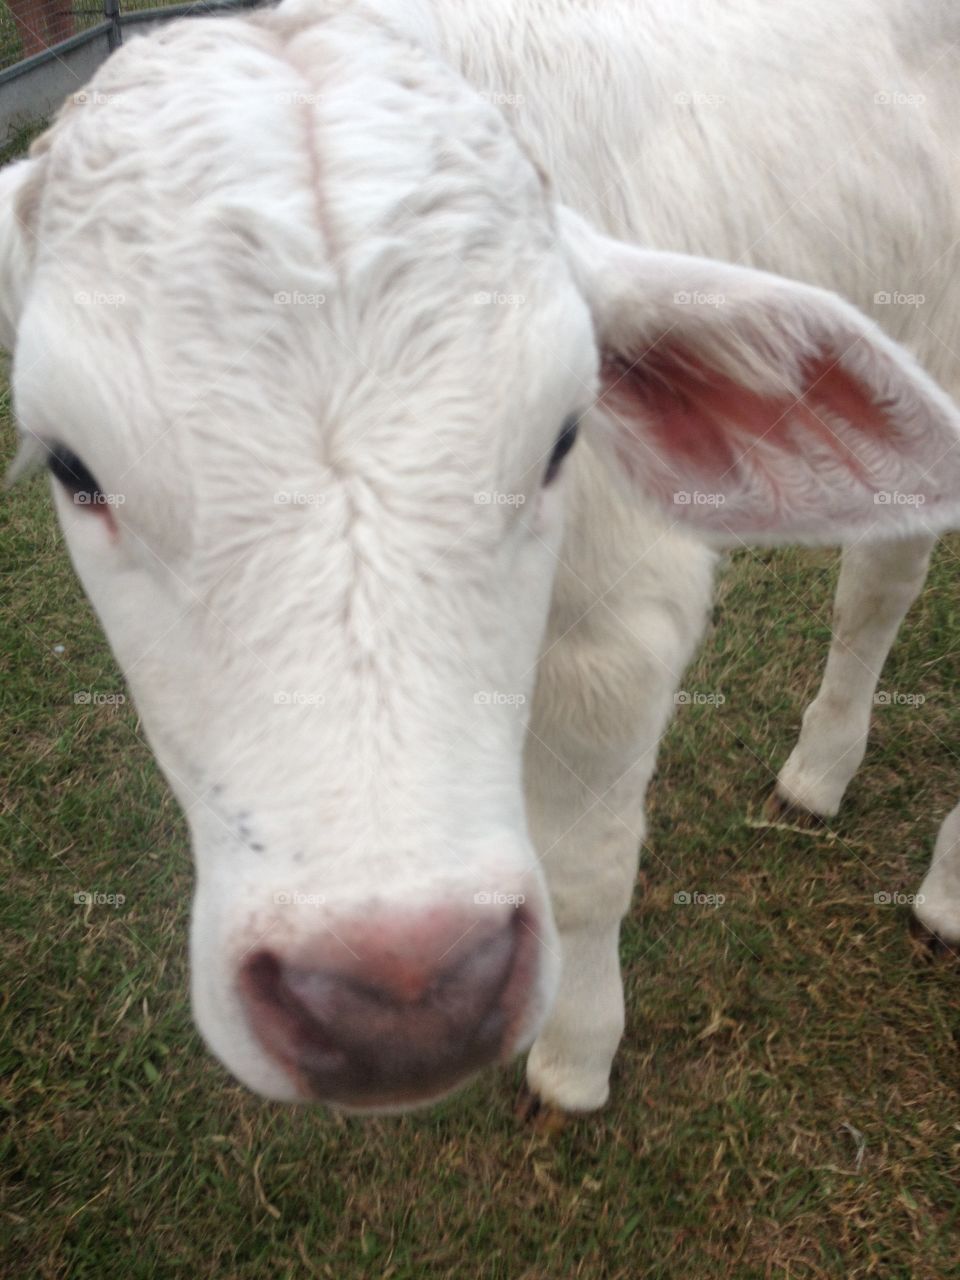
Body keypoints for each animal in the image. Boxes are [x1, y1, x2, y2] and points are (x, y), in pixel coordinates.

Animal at [3, 0, 960, 1114]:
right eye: (72, 465)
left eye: (563, 436)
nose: (397, 993)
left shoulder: (621, 631)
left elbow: (589, 870)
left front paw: (577, 1054)